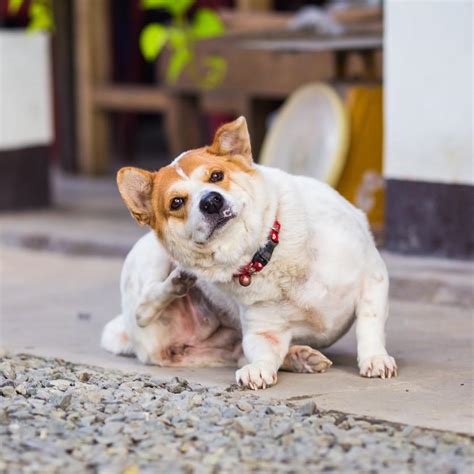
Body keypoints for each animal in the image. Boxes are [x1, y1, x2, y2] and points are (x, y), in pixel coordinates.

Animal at [103, 115, 396, 388]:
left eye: (216, 176)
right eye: (176, 202)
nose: (211, 201)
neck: (263, 253)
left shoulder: (373, 276)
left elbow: (368, 324)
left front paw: (374, 358)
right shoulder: (264, 332)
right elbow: (263, 355)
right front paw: (259, 370)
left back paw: (300, 358)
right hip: (150, 261)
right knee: (143, 307)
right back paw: (176, 283)